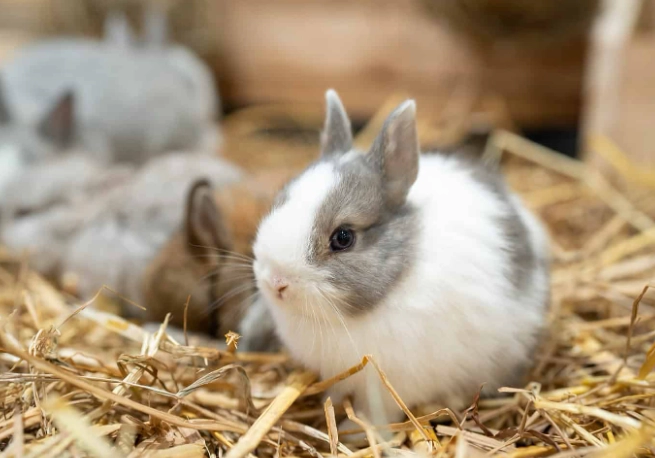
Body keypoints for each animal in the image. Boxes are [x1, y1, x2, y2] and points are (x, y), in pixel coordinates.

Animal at [240, 90, 551, 430]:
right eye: (280, 200)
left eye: (343, 237)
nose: (275, 282)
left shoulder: (390, 386)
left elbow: (377, 414)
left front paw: (355, 432)